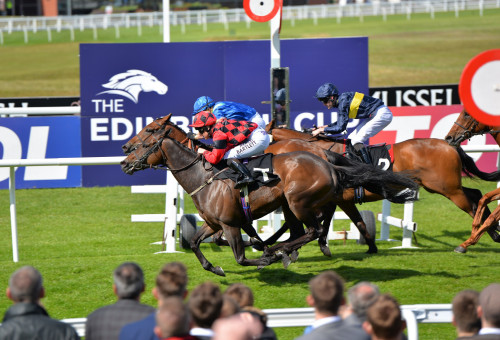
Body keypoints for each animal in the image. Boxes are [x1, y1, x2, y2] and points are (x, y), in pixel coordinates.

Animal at [121, 119, 418, 276]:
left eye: (148, 137)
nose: (124, 158)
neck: (202, 177)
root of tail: (326, 159)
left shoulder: (230, 224)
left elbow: (240, 256)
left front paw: (263, 253)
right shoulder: (215, 223)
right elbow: (195, 242)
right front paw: (215, 267)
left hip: (297, 201)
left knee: (313, 228)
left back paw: (282, 249)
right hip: (293, 203)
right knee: (306, 228)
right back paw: (285, 248)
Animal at [266, 120, 500, 252]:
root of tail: (448, 144)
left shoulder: (335, 199)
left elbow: (324, 221)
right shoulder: (340, 200)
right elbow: (357, 222)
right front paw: (371, 247)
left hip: (448, 189)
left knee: (472, 204)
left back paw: (477, 238)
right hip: (444, 187)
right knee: (476, 194)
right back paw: (492, 229)